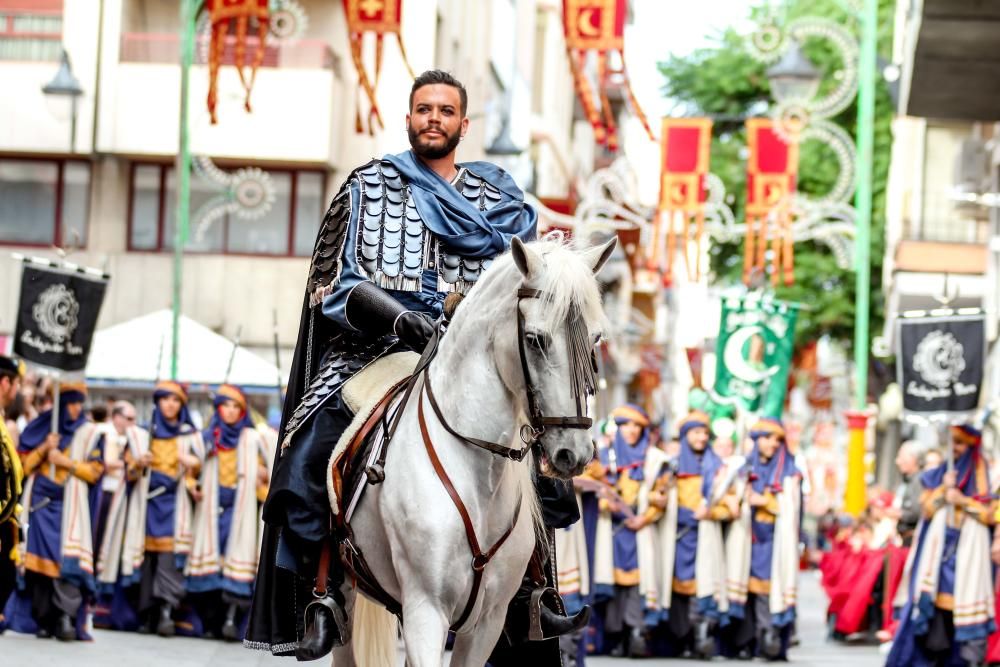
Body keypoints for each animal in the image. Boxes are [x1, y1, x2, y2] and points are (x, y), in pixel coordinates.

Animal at [334, 237, 616, 664]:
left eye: (595, 338)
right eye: (535, 339)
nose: (574, 452)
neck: (477, 472)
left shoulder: (488, 621)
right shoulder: (425, 612)